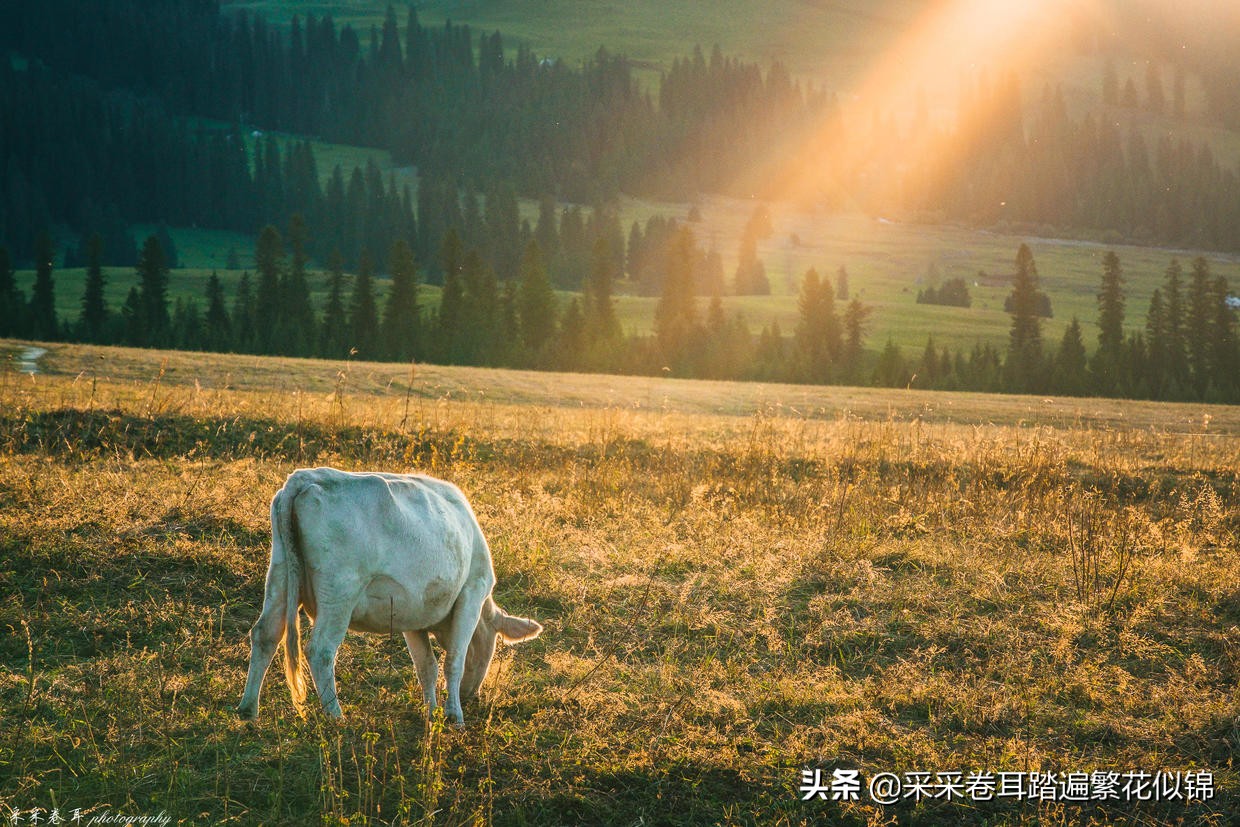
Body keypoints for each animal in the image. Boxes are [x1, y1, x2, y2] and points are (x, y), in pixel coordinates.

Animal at [234, 468, 540, 729]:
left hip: (280, 577)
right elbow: (454, 660)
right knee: (320, 649)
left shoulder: (414, 615)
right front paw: (454, 716)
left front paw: (432, 712)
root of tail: (304, 477)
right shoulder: (471, 594)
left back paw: (248, 710)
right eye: (493, 643)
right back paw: (335, 715)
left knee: (265, 635)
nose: (469, 695)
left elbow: (426, 667)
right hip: (339, 592)